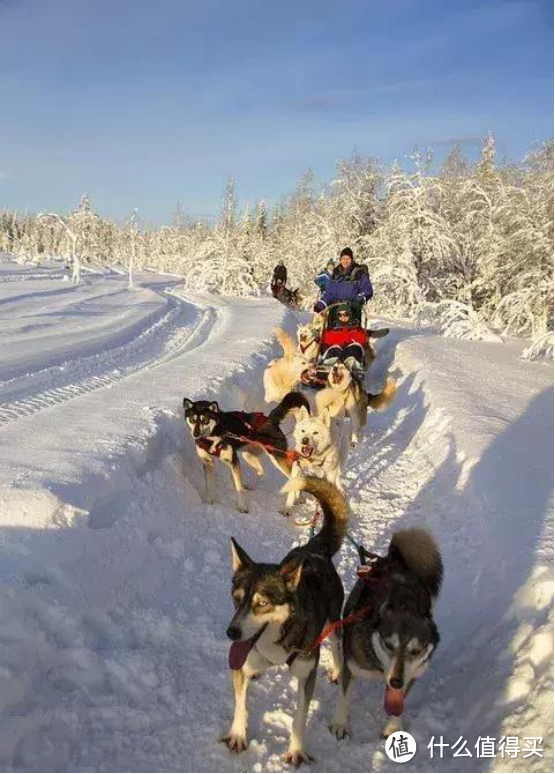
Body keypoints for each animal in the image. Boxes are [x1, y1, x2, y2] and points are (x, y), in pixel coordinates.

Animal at [223, 476, 348, 768]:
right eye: (236, 599)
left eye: (262, 604)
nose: (231, 632)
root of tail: (313, 549)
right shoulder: (240, 664)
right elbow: (240, 703)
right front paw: (237, 734)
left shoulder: (306, 675)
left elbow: (299, 718)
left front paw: (296, 750)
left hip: (334, 621)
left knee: (337, 646)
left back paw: (338, 670)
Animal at [330, 532, 444, 744]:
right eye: (388, 645)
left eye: (417, 650)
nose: (396, 682)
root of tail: (393, 561)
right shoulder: (351, 667)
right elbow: (344, 697)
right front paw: (340, 724)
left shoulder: (412, 674)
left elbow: (399, 702)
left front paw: (393, 727)